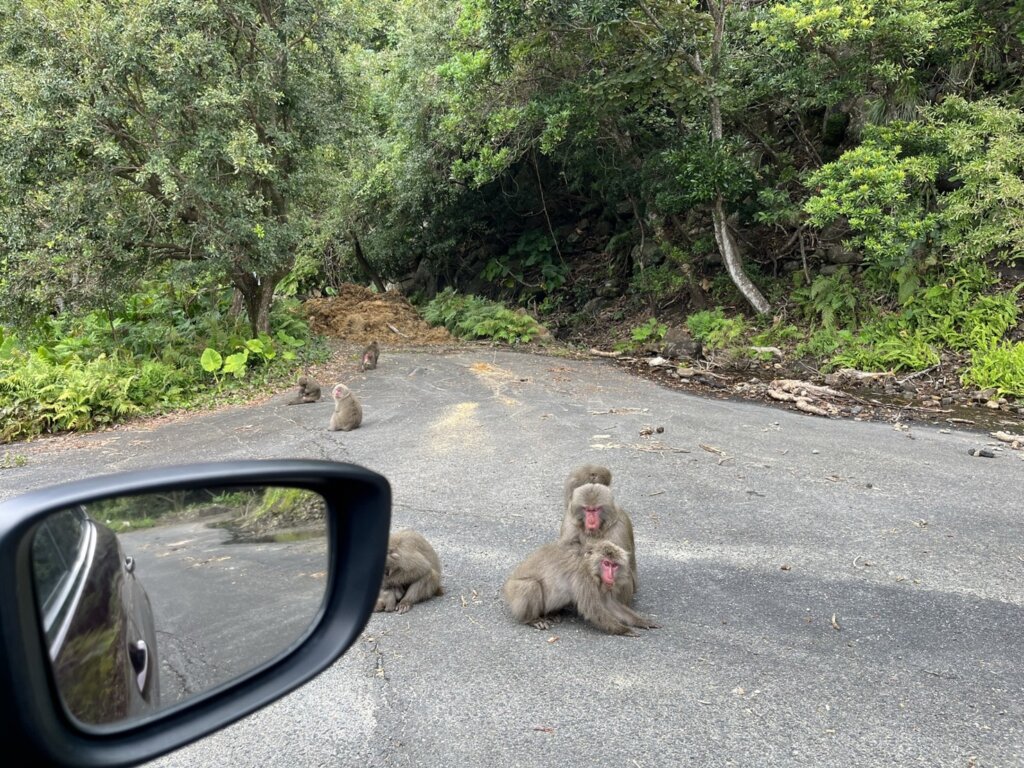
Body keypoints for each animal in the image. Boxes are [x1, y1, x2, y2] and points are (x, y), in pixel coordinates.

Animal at [501, 540, 659, 638]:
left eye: (614, 565)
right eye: (606, 563)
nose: (610, 576)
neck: (590, 566)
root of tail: (506, 588)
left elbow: (609, 604)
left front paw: (641, 621)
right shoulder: (583, 577)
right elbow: (593, 609)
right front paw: (624, 629)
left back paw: (552, 614)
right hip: (514, 592)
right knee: (531, 586)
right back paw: (531, 619)